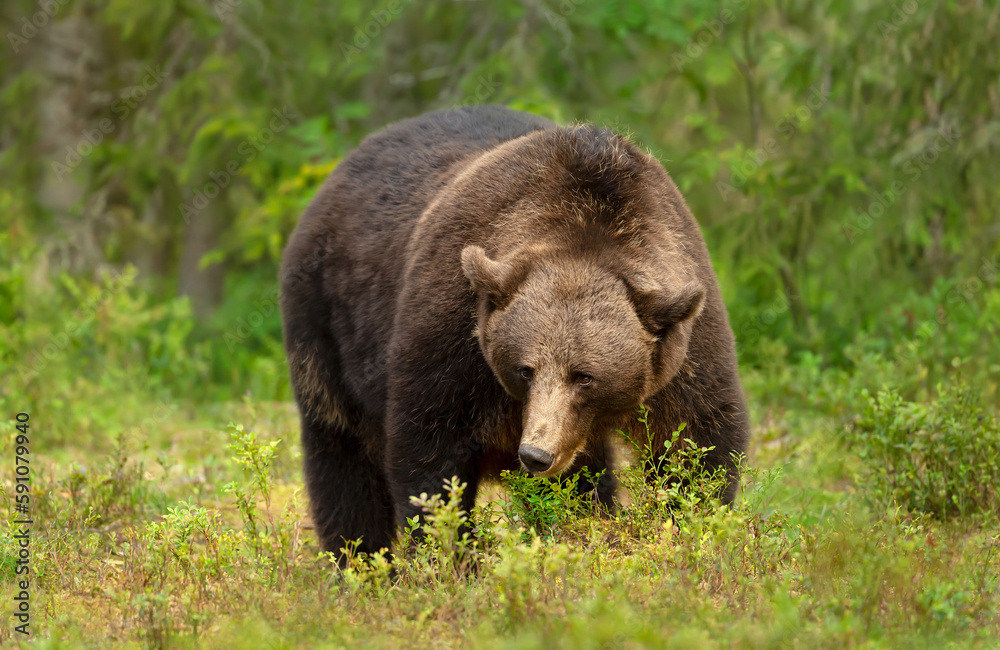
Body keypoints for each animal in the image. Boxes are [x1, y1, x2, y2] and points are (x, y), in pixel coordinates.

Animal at [279, 105, 749, 559]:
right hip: (325, 323)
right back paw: (356, 562)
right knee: (342, 459)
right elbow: (429, 454)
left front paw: (691, 531)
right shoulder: (454, 333)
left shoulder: (683, 343)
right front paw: (448, 556)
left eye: (585, 376)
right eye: (525, 369)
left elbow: (697, 443)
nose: (535, 455)